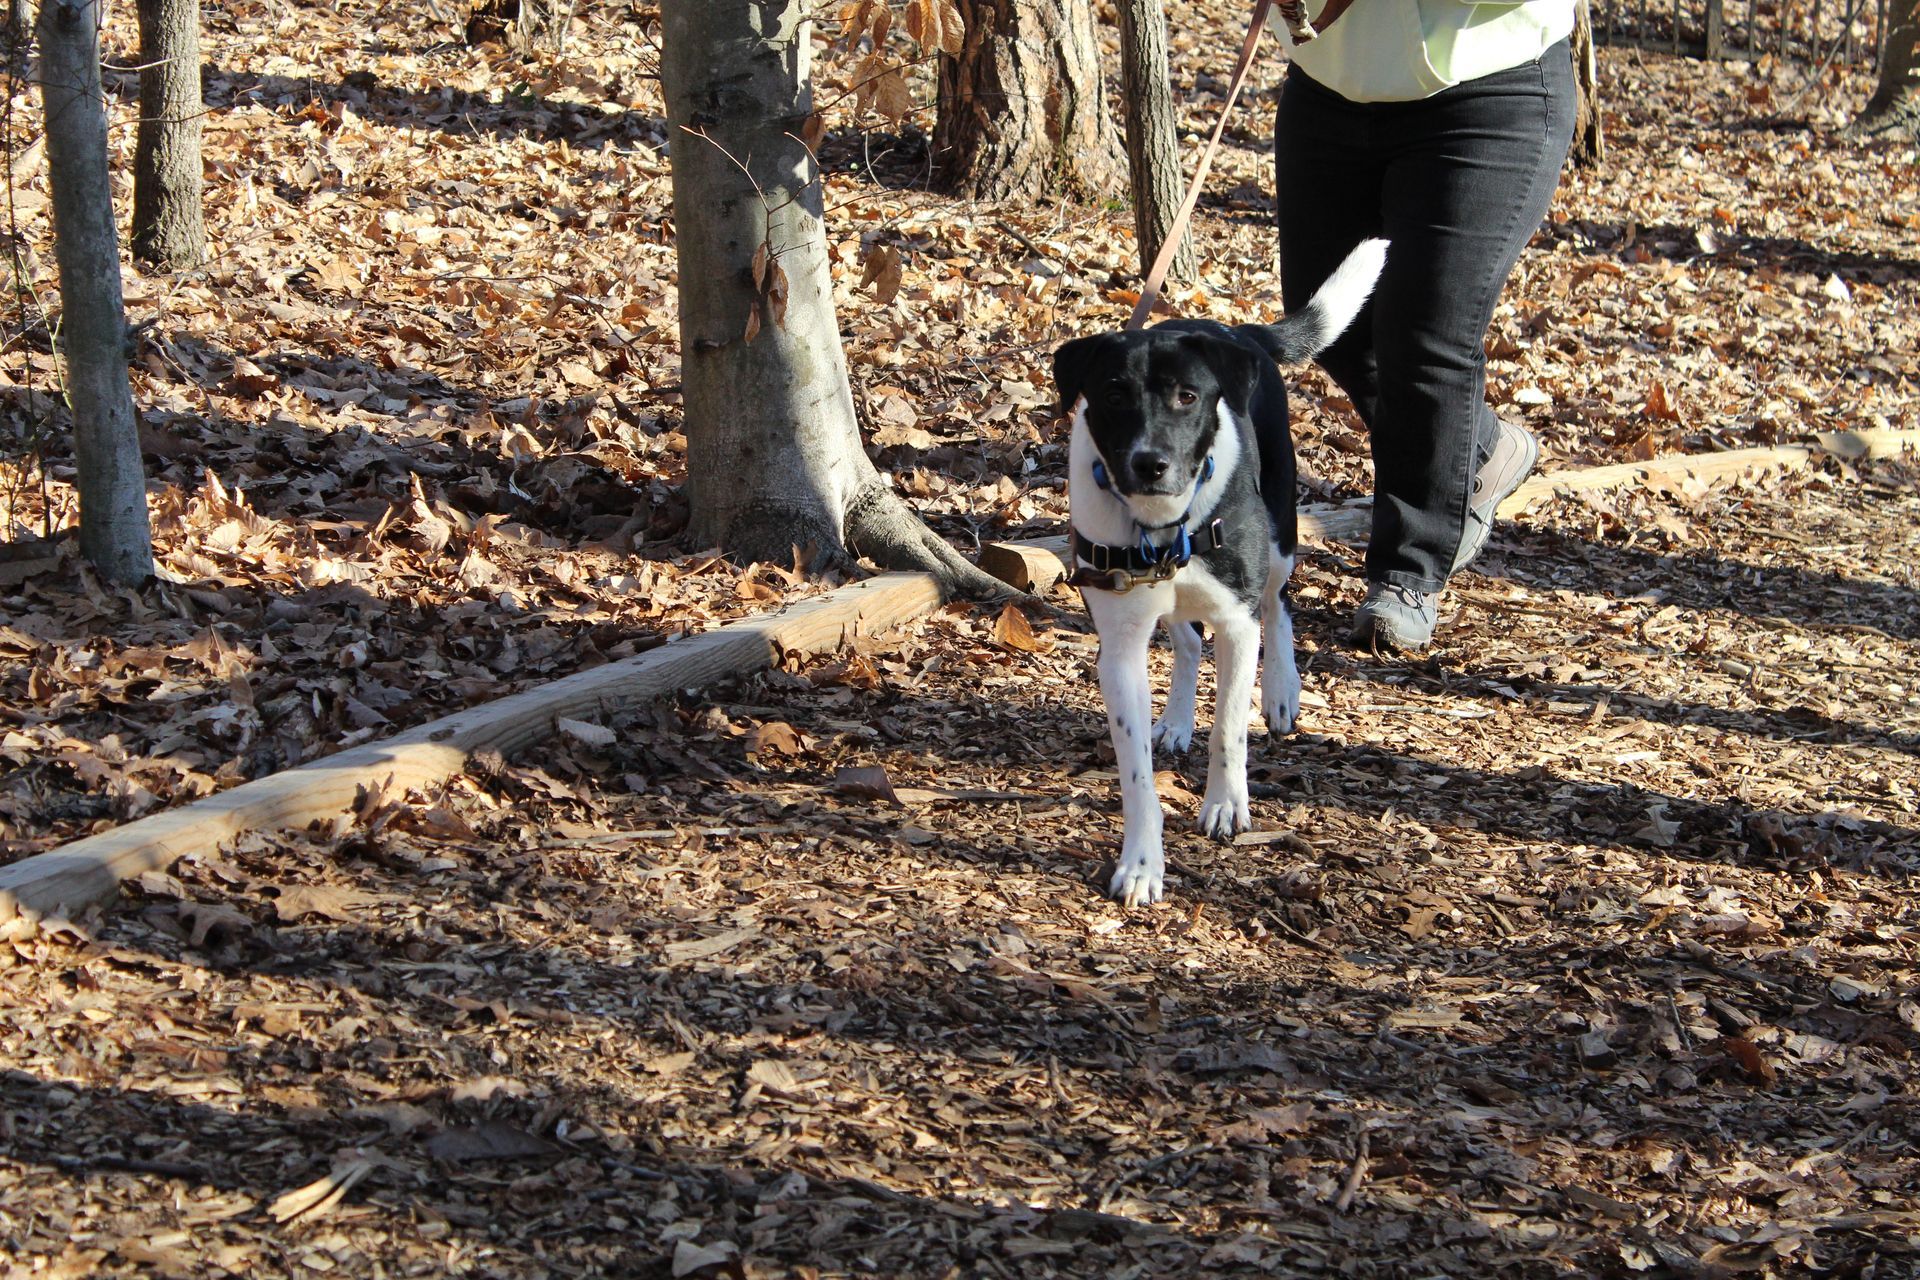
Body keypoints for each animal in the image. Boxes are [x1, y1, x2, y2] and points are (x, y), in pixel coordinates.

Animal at [1059, 235, 1390, 905]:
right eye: (1112, 395)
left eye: (1188, 396)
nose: (1150, 463)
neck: (1165, 523)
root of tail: (1237, 331)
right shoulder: (1121, 645)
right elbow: (1136, 770)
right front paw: (1141, 863)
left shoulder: (1237, 624)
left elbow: (1230, 725)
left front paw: (1226, 805)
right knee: (1187, 641)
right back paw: (1177, 719)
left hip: (1280, 532)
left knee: (1278, 604)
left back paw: (1282, 691)